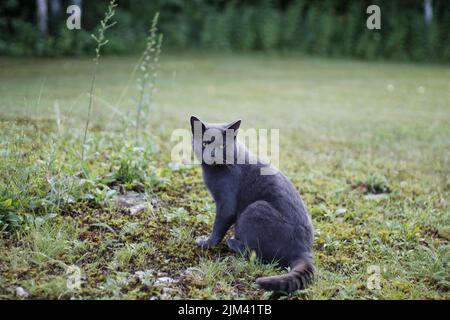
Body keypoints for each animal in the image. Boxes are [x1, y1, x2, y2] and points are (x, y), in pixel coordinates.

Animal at [191, 115, 316, 292]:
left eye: (223, 145)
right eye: (205, 143)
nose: (213, 154)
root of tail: (304, 251)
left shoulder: (227, 203)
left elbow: (218, 226)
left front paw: (206, 243)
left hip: (255, 209)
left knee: (259, 255)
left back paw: (233, 242)